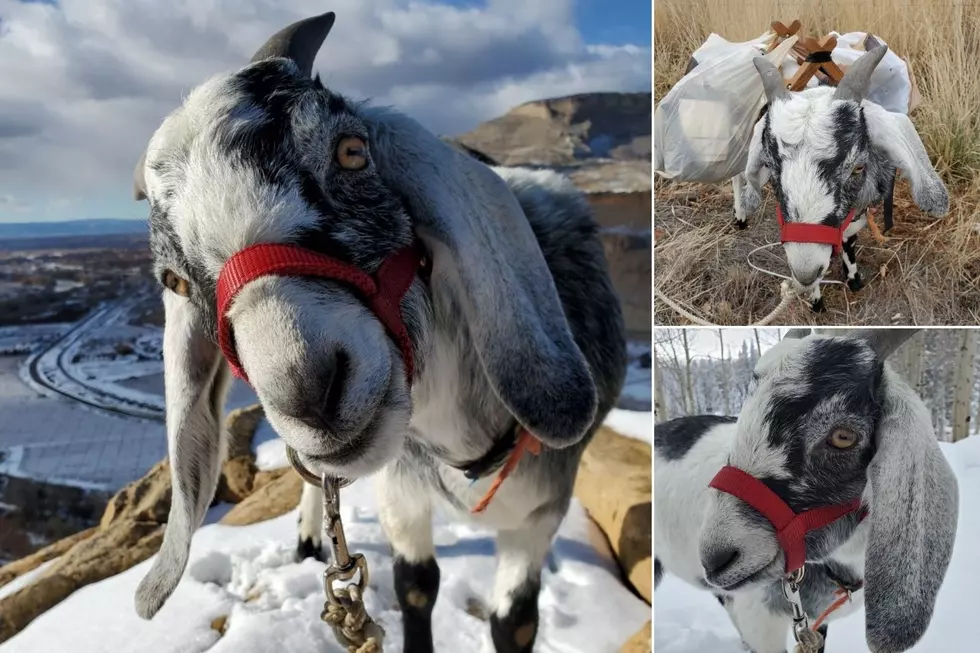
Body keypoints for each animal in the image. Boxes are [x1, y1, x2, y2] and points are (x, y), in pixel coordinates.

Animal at [128, 10, 628, 652]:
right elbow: (415, 585)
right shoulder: (400, 491)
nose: (309, 390)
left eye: (351, 151)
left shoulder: (538, 514)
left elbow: (514, 622)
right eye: (174, 278)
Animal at [732, 45, 944, 310]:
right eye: (770, 166)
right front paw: (815, 299)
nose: (805, 271)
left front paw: (853, 279)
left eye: (858, 167)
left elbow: (849, 242)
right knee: (737, 177)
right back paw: (740, 215)